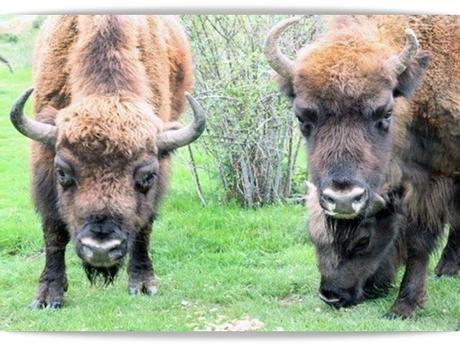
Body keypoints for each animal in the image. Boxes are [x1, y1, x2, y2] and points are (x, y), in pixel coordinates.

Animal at [9, 15, 207, 308]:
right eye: (63, 173)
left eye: (147, 176)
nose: (100, 249)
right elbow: (53, 232)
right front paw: (48, 297)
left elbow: (144, 227)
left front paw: (143, 284)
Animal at [266, 16, 460, 318]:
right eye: (301, 117)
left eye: (385, 113)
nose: (343, 200)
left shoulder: (435, 181)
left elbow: (421, 240)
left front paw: (403, 307)